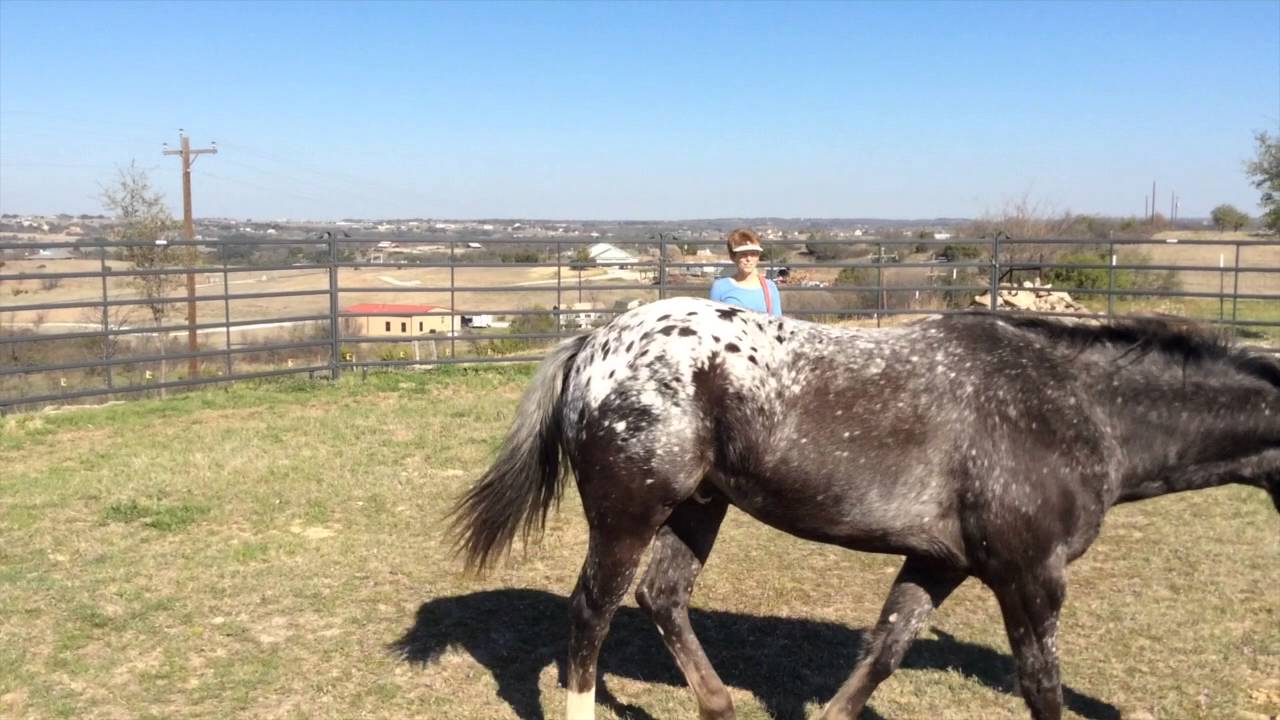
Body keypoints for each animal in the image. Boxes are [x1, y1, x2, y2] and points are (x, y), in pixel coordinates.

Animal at [450, 296, 1280, 720]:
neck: (1076, 408)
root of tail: (594, 341)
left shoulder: (939, 563)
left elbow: (880, 655)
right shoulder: (1031, 578)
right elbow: (1041, 686)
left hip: (699, 507)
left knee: (663, 597)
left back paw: (719, 706)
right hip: (629, 515)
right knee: (592, 616)